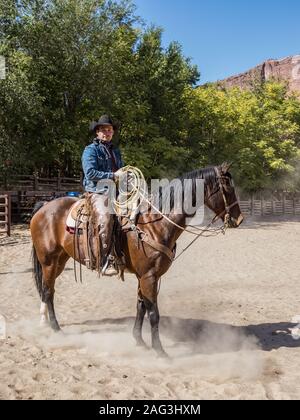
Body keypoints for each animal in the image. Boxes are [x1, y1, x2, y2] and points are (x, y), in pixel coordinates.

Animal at [30, 162, 244, 356]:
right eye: (228, 187)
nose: (239, 219)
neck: (155, 224)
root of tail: (44, 207)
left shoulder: (147, 276)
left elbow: (141, 306)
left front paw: (139, 340)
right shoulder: (149, 276)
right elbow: (153, 313)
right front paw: (160, 351)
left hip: (60, 259)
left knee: (47, 289)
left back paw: (44, 322)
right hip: (48, 261)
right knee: (48, 291)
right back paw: (56, 328)